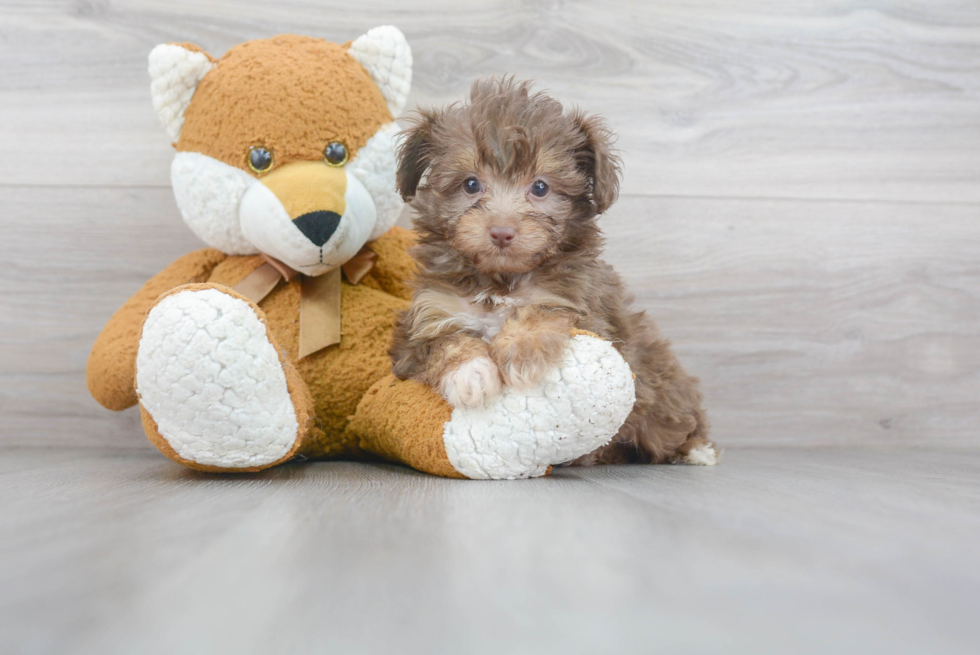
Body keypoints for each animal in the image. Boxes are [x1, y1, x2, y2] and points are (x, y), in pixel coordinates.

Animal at [390, 78, 720, 466]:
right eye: (471, 184)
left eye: (540, 187)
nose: (501, 232)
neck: (500, 281)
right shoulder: (425, 317)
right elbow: (440, 342)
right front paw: (470, 373)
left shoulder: (585, 308)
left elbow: (543, 310)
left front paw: (520, 352)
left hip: (662, 386)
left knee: (678, 418)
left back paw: (697, 449)